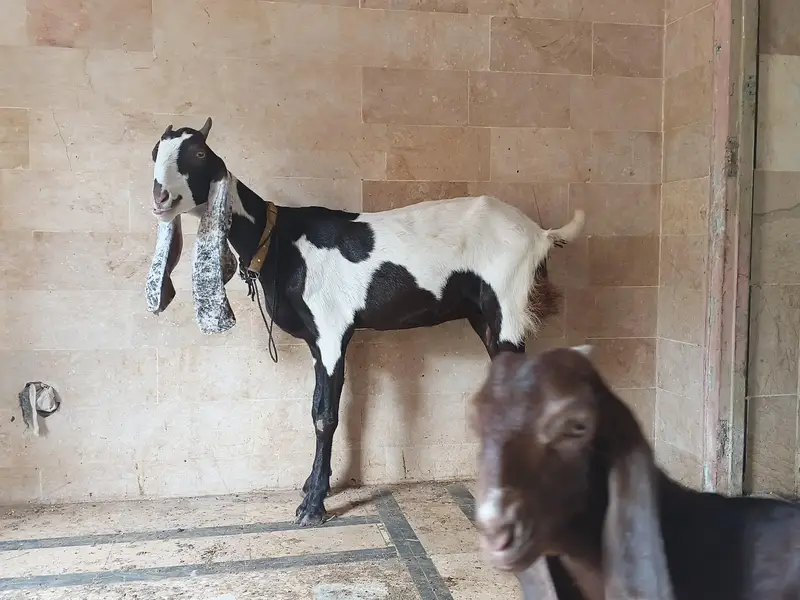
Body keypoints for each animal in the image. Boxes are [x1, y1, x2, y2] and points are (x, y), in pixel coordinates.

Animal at [144, 117, 585, 526]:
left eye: (199, 153)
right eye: (154, 153)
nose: (160, 197)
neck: (280, 240)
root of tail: (541, 234)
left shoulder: (331, 330)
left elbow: (325, 414)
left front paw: (313, 506)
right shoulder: (316, 340)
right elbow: (317, 406)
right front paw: (313, 485)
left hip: (507, 307)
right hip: (484, 316)